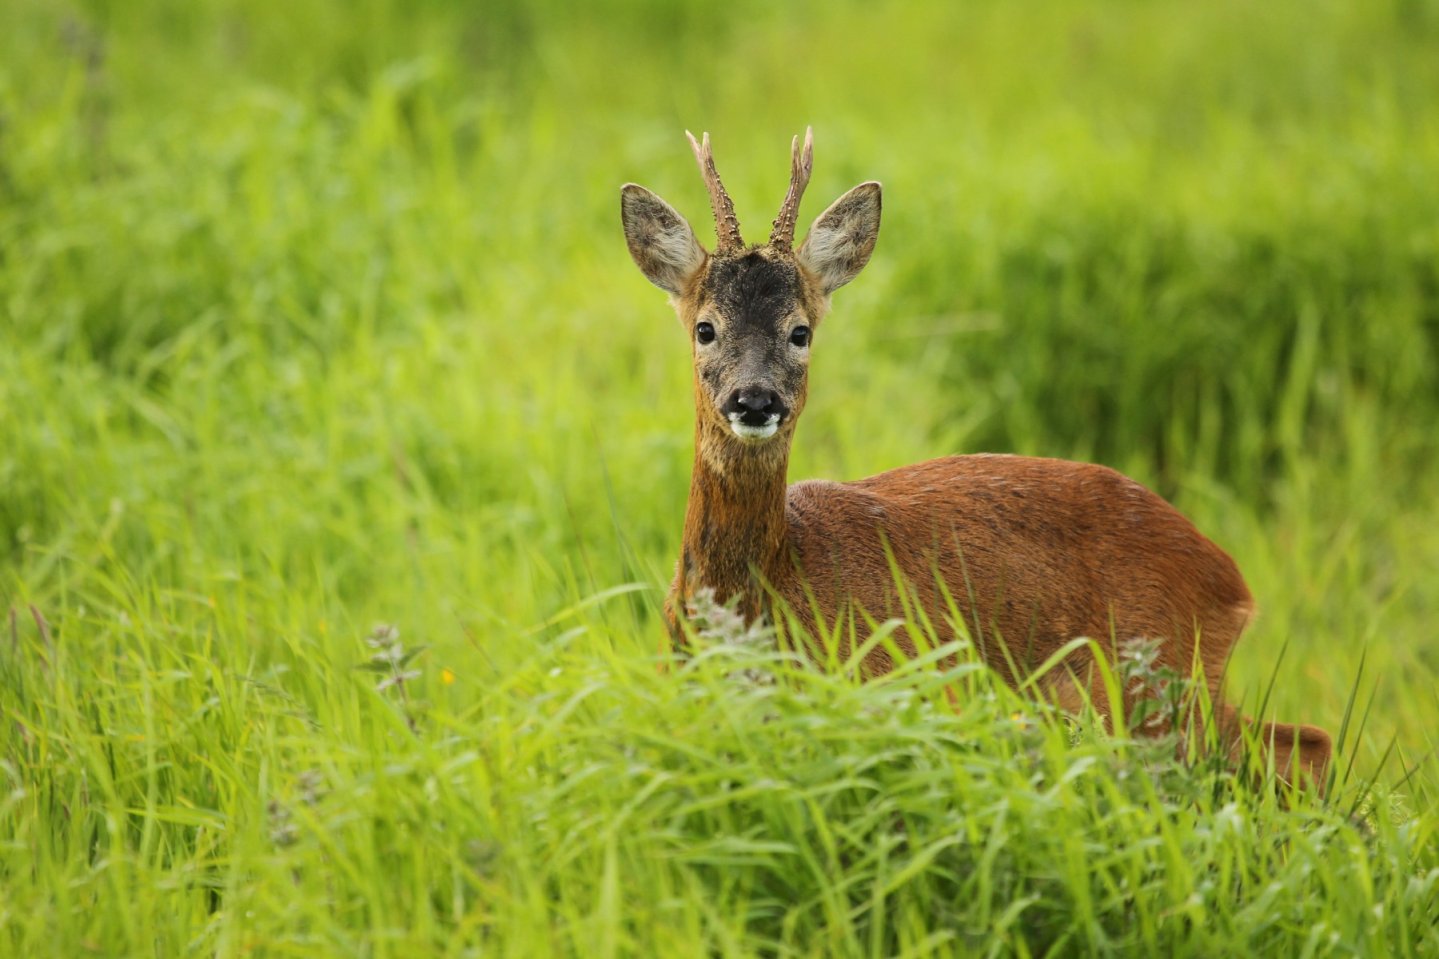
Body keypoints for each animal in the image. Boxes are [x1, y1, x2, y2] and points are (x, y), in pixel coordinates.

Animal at [620, 128, 1332, 786]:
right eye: (705, 327)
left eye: (801, 331)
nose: (755, 399)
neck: (770, 590)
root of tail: (1231, 579)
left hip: (1154, 681)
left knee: (1296, 747)